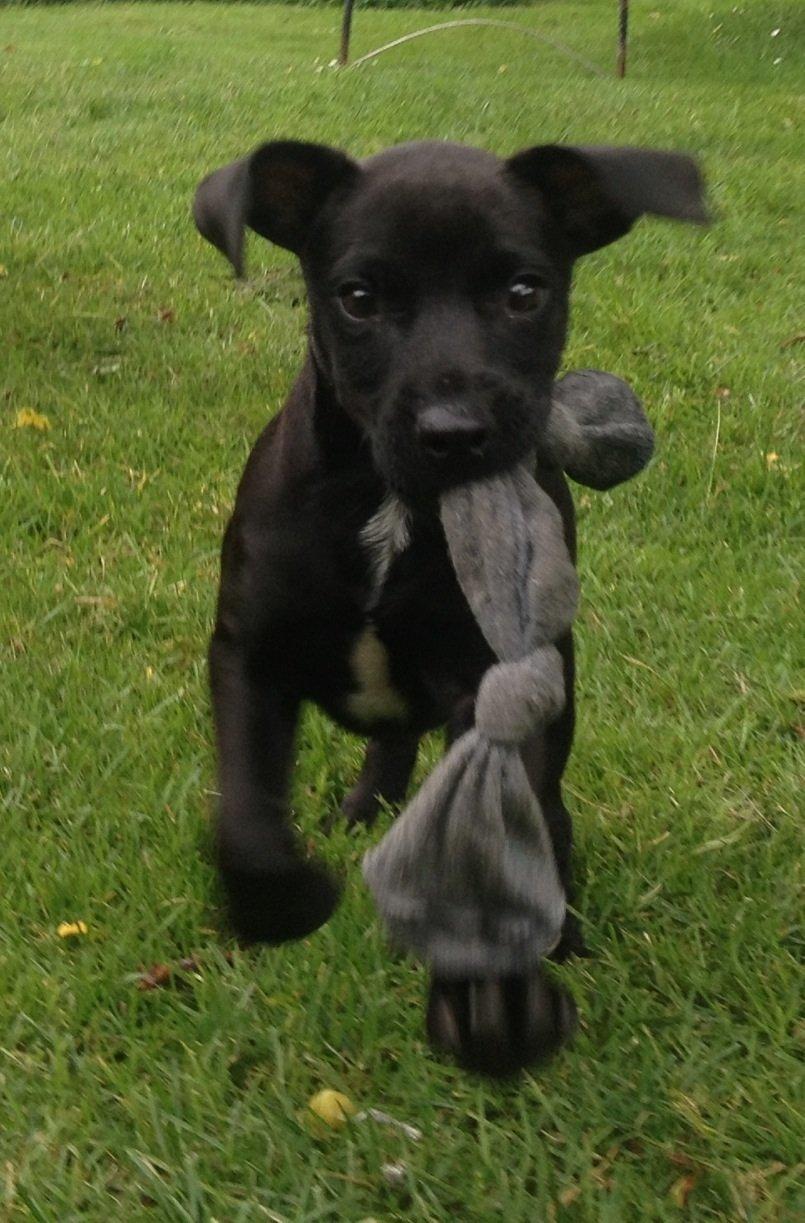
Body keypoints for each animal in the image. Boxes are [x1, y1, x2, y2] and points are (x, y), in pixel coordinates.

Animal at [193, 140, 704, 1071]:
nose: (455, 431)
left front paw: (497, 1001)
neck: (387, 507)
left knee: (543, 816)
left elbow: (497, 839)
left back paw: (559, 925)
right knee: (393, 744)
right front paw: (281, 901)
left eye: (523, 292)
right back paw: (367, 807)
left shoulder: (496, 679)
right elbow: (245, 811)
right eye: (358, 298)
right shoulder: (249, 649)